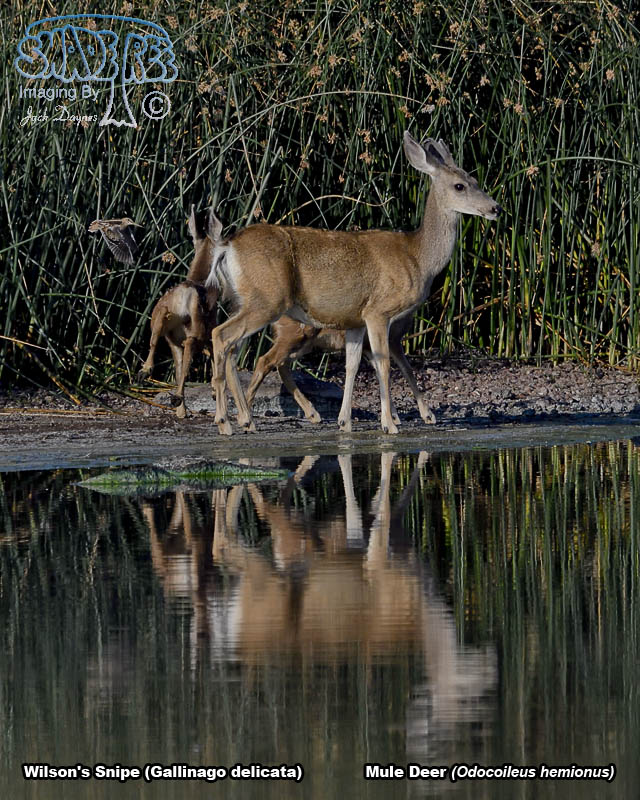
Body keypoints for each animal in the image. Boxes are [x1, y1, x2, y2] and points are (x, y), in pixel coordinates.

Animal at [137, 206, 222, 418]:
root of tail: (184, 294)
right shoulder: (212, 329)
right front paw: (214, 391)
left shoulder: (174, 339)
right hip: (197, 330)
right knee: (190, 354)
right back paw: (178, 401)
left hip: (162, 320)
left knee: (158, 343)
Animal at [206, 131, 502, 435]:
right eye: (459, 186)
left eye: (474, 179)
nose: (496, 208)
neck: (418, 256)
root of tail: (227, 246)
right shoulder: (378, 311)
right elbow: (384, 364)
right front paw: (389, 424)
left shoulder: (355, 320)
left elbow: (353, 365)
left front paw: (344, 421)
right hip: (268, 300)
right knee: (222, 336)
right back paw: (226, 422)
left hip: (246, 301)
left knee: (234, 348)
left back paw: (246, 419)